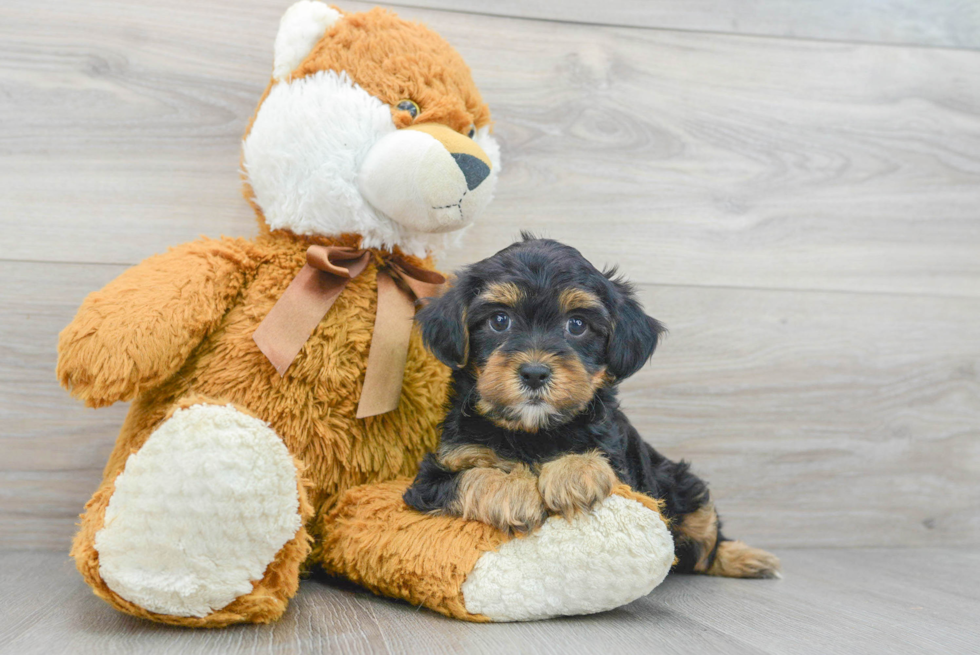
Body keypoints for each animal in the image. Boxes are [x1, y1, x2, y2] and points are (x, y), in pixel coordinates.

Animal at [404, 236, 780, 580]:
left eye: (577, 325)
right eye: (499, 320)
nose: (535, 372)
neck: (533, 431)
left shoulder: (623, 466)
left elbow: (597, 461)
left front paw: (572, 475)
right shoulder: (434, 474)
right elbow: (472, 474)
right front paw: (512, 489)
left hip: (684, 487)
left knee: (705, 545)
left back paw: (746, 558)